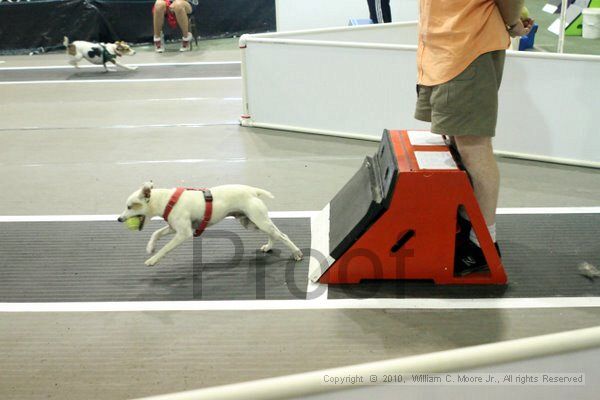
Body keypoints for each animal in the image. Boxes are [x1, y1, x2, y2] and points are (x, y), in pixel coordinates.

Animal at [118, 183, 304, 268]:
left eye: (130, 206)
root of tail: (252, 190)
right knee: (274, 234)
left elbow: (165, 248)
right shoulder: (174, 228)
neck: (167, 201)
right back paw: (269, 247)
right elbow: (156, 233)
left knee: (282, 235)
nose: (119, 219)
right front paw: (150, 248)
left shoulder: (183, 233)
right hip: (251, 222)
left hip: (259, 220)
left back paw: (296, 253)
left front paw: (153, 259)